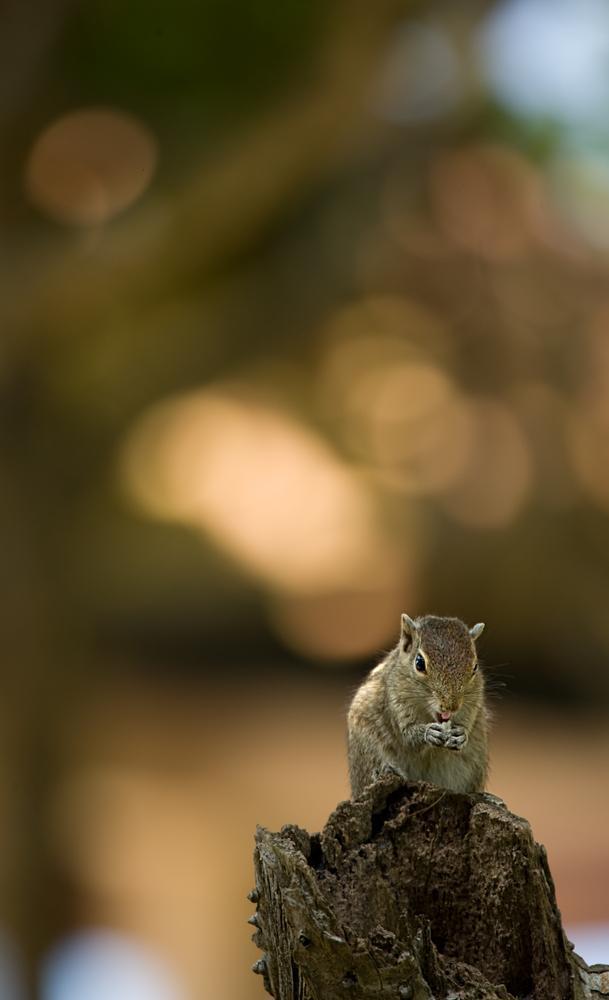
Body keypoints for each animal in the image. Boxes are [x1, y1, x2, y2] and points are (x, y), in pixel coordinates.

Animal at [346, 608, 490, 796]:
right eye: (419, 663)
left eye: (475, 667)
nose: (451, 706)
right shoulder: (396, 702)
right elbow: (408, 734)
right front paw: (428, 733)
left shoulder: (473, 704)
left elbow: (467, 723)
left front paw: (461, 736)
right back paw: (386, 769)